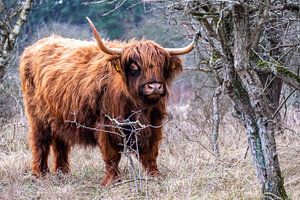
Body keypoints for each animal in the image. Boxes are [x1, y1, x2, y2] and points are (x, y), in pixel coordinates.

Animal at [19, 17, 197, 186]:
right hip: (37, 117)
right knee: (40, 142)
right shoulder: (107, 125)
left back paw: (63, 174)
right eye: (134, 66)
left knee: (60, 144)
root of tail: (33, 47)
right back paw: (40, 174)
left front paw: (155, 176)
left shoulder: (154, 125)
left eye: (162, 65)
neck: (138, 104)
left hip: (59, 117)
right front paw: (112, 181)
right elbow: (111, 156)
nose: (154, 86)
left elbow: (151, 153)